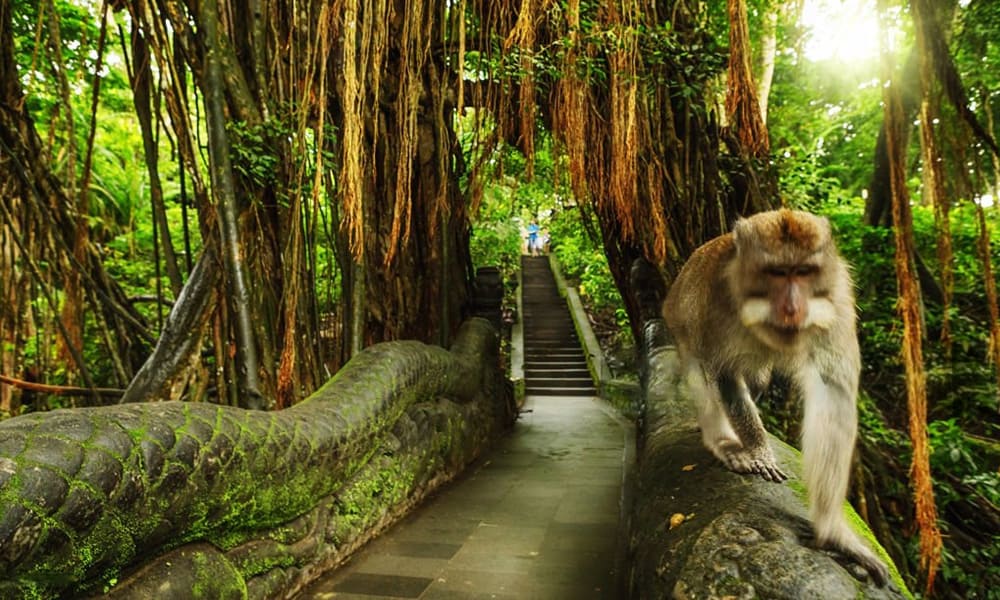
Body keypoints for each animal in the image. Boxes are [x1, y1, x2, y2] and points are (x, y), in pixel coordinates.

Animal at [662, 209, 890, 585]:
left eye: (804, 272)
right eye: (776, 273)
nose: (792, 307)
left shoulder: (837, 298)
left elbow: (832, 390)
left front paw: (833, 532)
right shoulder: (717, 303)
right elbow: (724, 373)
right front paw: (757, 450)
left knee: (756, 380)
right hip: (679, 324)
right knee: (701, 370)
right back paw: (722, 440)